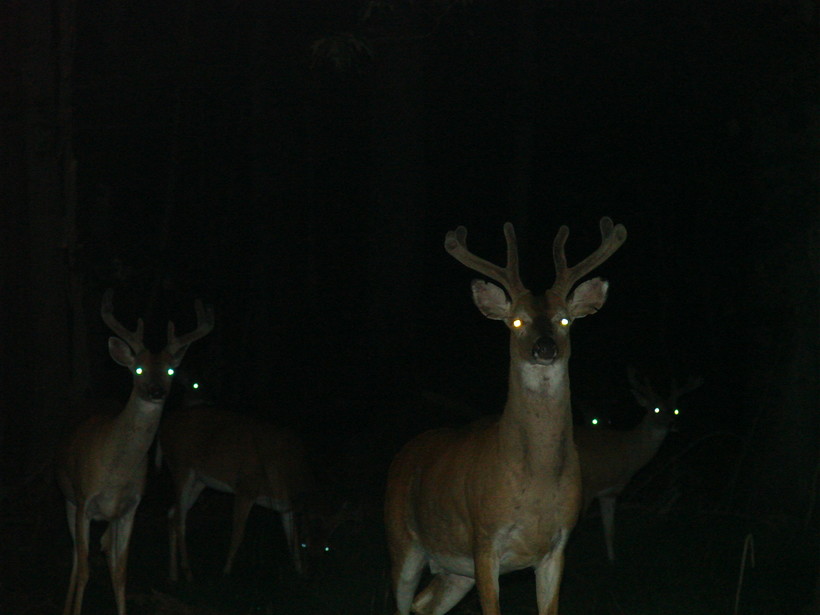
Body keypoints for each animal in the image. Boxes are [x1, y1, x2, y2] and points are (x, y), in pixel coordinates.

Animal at [56, 289, 214, 615]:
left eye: (170, 369)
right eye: (138, 368)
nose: (156, 391)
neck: (115, 473)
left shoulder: (130, 508)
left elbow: (120, 571)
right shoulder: (84, 499)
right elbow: (85, 568)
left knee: (102, 548)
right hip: (68, 499)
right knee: (77, 557)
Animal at [157, 375, 315, 582]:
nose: (311, 573)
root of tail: (163, 427)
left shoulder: (285, 506)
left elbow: (291, 540)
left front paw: (299, 572)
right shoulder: (246, 487)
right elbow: (238, 533)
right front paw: (226, 571)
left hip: (200, 481)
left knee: (172, 512)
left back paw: (173, 575)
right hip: (181, 466)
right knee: (179, 519)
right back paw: (188, 572)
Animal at [385, 217, 627, 615]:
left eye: (565, 320)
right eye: (516, 322)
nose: (544, 347)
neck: (537, 482)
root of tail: (403, 454)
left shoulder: (557, 547)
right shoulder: (484, 540)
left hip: (455, 571)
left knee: (425, 604)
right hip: (401, 540)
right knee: (404, 600)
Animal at [574, 368, 703, 562]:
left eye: (675, 410)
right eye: (656, 409)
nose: (672, 424)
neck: (626, 451)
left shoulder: (610, 492)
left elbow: (609, 530)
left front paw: (612, 561)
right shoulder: (587, 487)